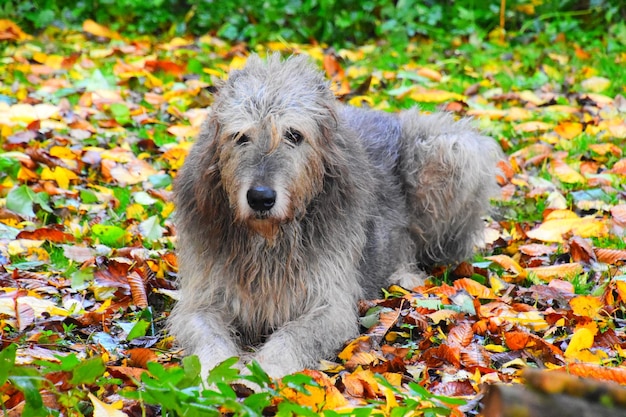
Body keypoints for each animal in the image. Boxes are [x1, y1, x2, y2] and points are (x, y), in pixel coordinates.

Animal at [168, 52, 500, 376]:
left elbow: (293, 336)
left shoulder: (330, 305)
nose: (261, 198)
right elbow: (207, 336)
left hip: (454, 149)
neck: (269, 240)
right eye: (240, 136)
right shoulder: (202, 300)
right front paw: (217, 377)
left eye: (294, 135)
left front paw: (261, 374)